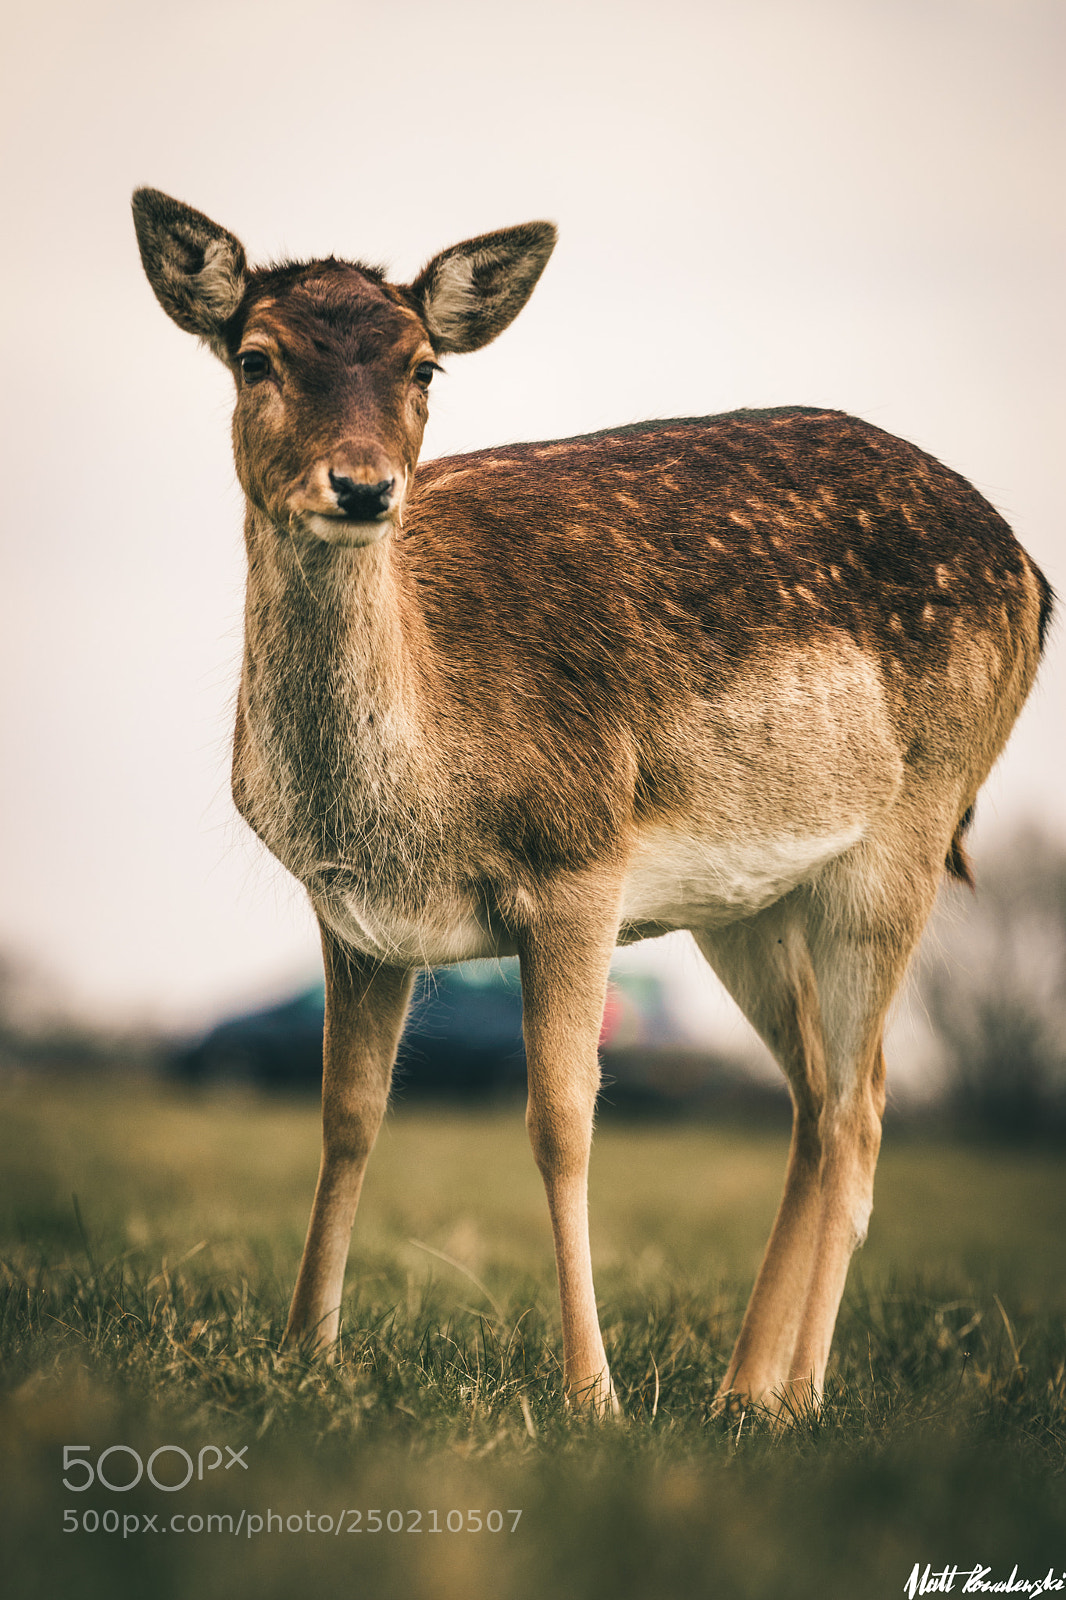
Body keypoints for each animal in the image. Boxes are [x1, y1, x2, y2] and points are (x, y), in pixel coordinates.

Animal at [132, 187, 1052, 1420]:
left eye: (424, 365)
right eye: (255, 357)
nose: (365, 485)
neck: (402, 807)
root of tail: (1033, 575)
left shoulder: (579, 862)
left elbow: (561, 1120)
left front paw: (591, 1395)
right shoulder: (351, 918)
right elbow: (346, 1117)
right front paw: (305, 1355)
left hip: (907, 831)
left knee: (860, 1108)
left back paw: (797, 1395)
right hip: (747, 906)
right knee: (817, 1100)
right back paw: (741, 1391)